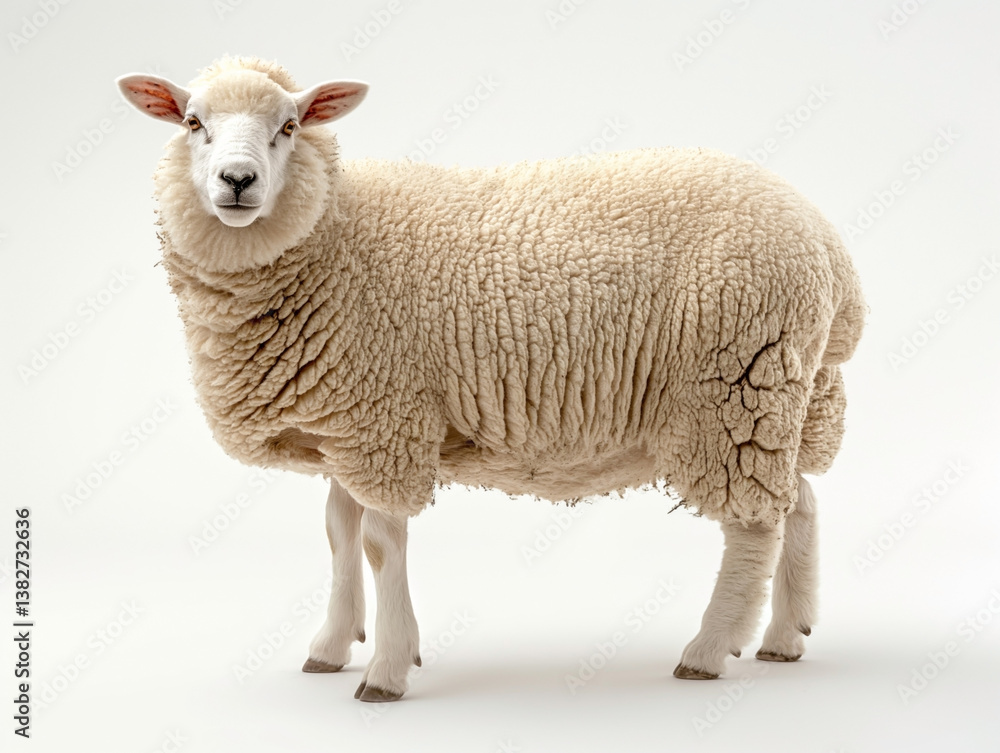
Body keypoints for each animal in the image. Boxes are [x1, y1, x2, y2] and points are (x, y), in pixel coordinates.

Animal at [117, 56, 866, 702]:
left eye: (290, 126)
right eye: (192, 122)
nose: (237, 180)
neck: (335, 235)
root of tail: (830, 251)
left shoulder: (386, 419)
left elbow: (381, 543)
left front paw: (386, 669)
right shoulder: (346, 423)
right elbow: (338, 531)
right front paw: (331, 646)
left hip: (732, 388)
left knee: (753, 526)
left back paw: (709, 649)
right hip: (782, 395)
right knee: (798, 501)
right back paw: (784, 636)